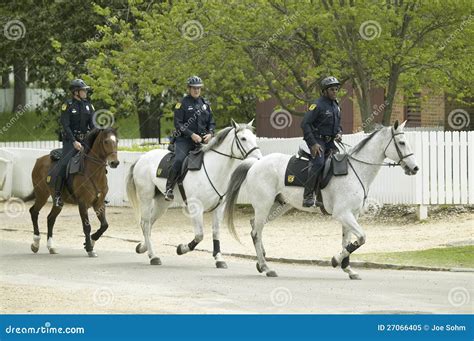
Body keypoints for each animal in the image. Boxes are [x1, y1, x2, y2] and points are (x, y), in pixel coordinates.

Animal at [25, 127, 119, 255]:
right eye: (106, 141)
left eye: (117, 141)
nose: (115, 163)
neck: (93, 172)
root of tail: (39, 160)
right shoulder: (82, 203)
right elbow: (87, 227)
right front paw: (89, 248)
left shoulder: (99, 203)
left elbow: (104, 225)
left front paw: (91, 242)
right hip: (42, 195)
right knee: (34, 212)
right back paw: (35, 243)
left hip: (57, 202)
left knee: (50, 218)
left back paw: (51, 246)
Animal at [126, 119, 262, 266]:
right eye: (243, 138)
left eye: (254, 137)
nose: (259, 159)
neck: (213, 169)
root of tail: (142, 158)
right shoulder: (195, 207)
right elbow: (199, 235)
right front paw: (181, 249)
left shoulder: (219, 208)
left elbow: (216, 232)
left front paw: (219, 258)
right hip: (145, 198)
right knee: (145, 224)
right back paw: (153, 256)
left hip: (162, 203)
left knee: (149, 223)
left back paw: (143, 247)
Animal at [225, 121, 418, 278]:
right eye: (402, 143)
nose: (415, 168)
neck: (355, 170)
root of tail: (256, 163)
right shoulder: (343, 214)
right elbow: (361, 238)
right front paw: (335, 260)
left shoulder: (351, 215)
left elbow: (347, 241)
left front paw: (348, 269)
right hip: (263, 205)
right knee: (256, 232)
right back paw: (267, 268)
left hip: (275, 207)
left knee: (255, 227)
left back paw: (261, 262)